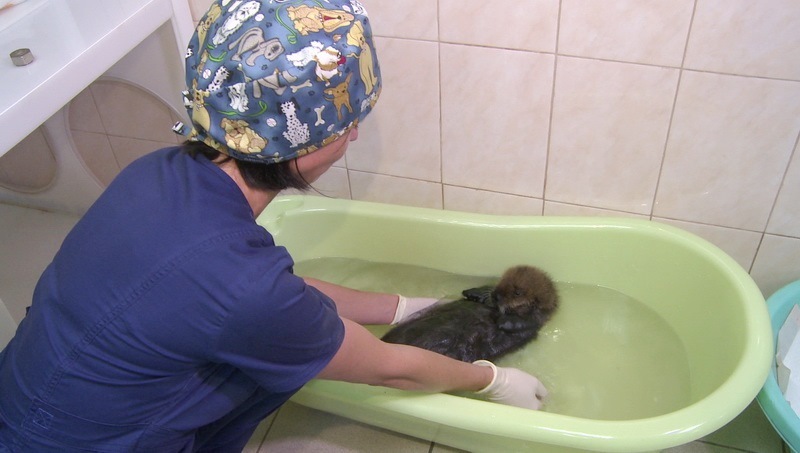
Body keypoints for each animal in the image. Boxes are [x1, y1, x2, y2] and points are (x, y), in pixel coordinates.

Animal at [380, 264, 556, 362]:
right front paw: (475, 293)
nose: (496, 295)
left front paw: (503, 321)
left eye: (517, 293)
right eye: (502, 280)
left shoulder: (534, 322)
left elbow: (525, 322)